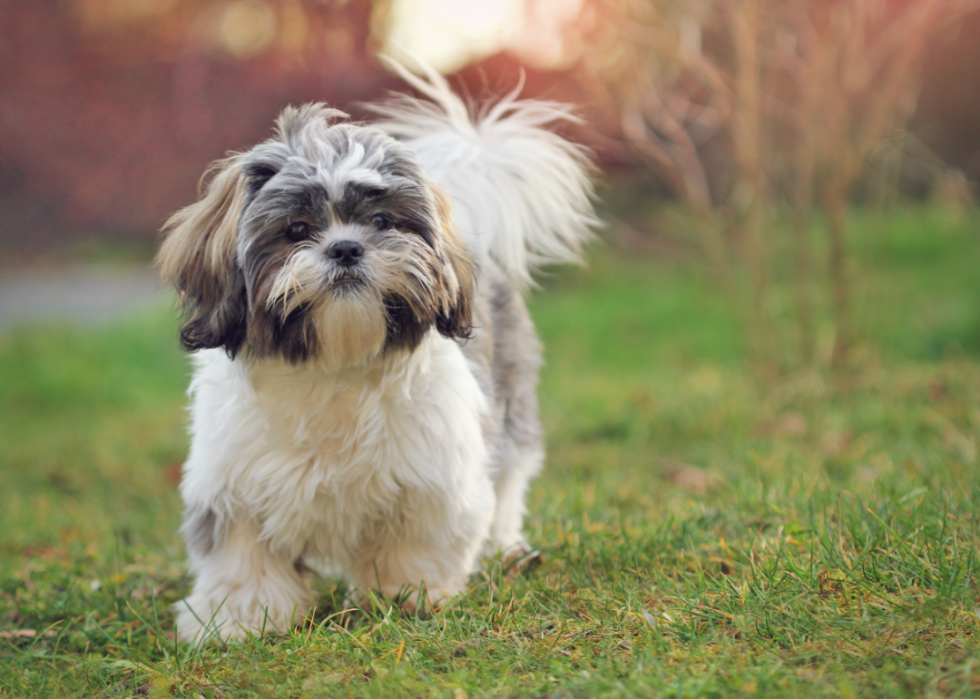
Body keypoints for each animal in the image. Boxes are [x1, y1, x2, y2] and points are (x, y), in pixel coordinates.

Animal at [159, 63, 596, 644]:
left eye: (383, 222)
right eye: (296, 230)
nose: (346, 248)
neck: (334, 367)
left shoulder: (434, 477)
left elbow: (416, 543)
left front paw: (404, 597)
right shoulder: (230, 484)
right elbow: (241, 558)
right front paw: (240, 620)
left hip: (511, 409)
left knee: (508, 484)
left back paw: (505, 549)